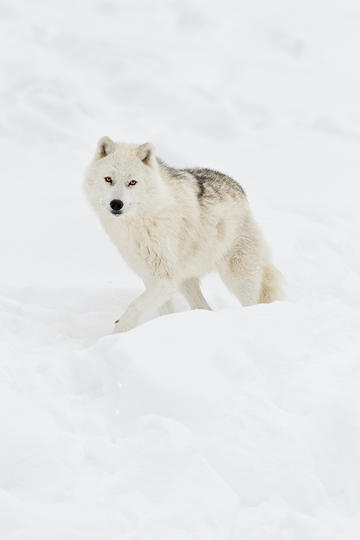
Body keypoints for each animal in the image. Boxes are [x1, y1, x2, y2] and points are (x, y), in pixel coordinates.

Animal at [84, 137, 284, 332]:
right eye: (108, 179)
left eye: (132, 182)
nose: (116, 204)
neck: (143, 220)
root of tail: (239, 188)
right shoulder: (151, 276)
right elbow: (161, 310)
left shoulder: (166, 277)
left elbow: (135, 306)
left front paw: (117, 334)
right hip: (187, 282)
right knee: (205, 308)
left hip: (239, 278)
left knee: (252, 302)